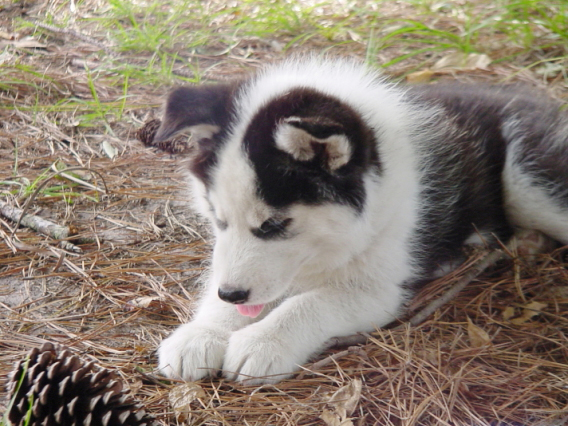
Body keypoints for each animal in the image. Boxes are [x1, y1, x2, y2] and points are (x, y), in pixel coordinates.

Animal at [153, 57, 568, 385]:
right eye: (217, 219)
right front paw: (202, 333)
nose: (232, 293)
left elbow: (310, 303)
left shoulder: (382, 287)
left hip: (530, 179)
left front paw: (264, 341)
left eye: (274, 224)